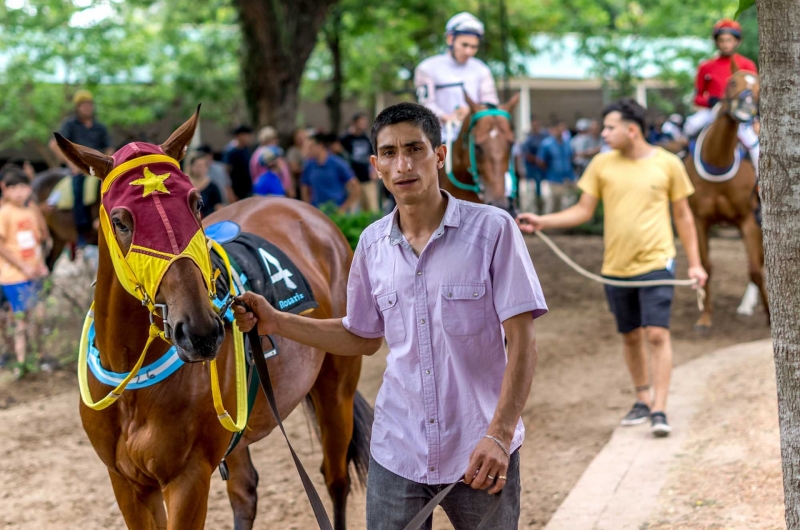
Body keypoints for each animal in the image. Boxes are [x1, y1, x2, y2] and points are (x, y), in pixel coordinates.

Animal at [55, 108, 368, 528]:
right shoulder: (126, 482)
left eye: (197, 203)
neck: (134, 383)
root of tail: (305, 211)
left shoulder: (188, 477)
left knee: (335, 479)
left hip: (336, 388)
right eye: (121, 221)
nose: (200, 332)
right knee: (246, 492)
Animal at [684, 67, 764, 330]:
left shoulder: (748, 220)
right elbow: (706, 267)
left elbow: (755, 270)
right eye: (732, 82)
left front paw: (770, 317)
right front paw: (705, 317)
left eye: (759, 86)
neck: (718, 162)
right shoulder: (699, 220)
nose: (746, 106)